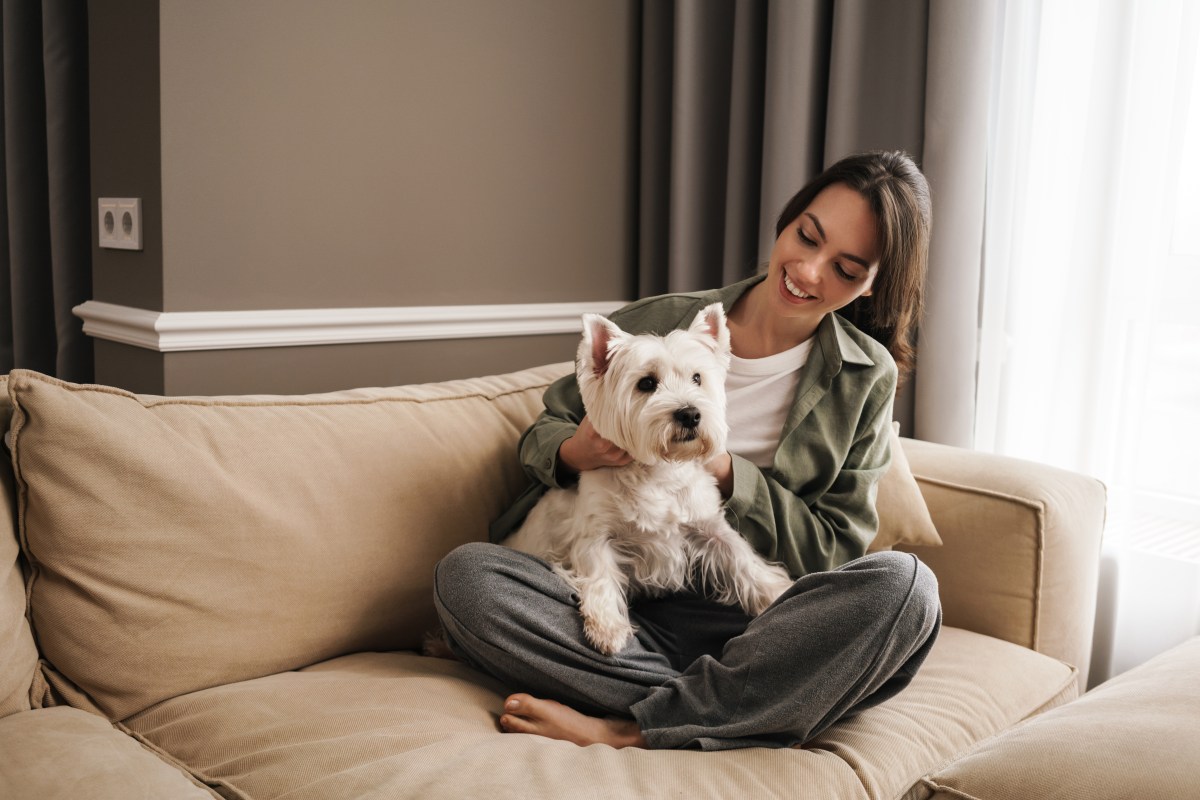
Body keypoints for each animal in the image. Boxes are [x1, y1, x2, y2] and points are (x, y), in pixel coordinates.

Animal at [499, 303, 796, 652]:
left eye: (697, 378)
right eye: (646, 383)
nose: (690, 414)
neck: (659, 471)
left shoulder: (708, 525)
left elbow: (742, 557)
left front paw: (778, 590)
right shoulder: (594, 536)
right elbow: (600, 575)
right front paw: (608, 627)